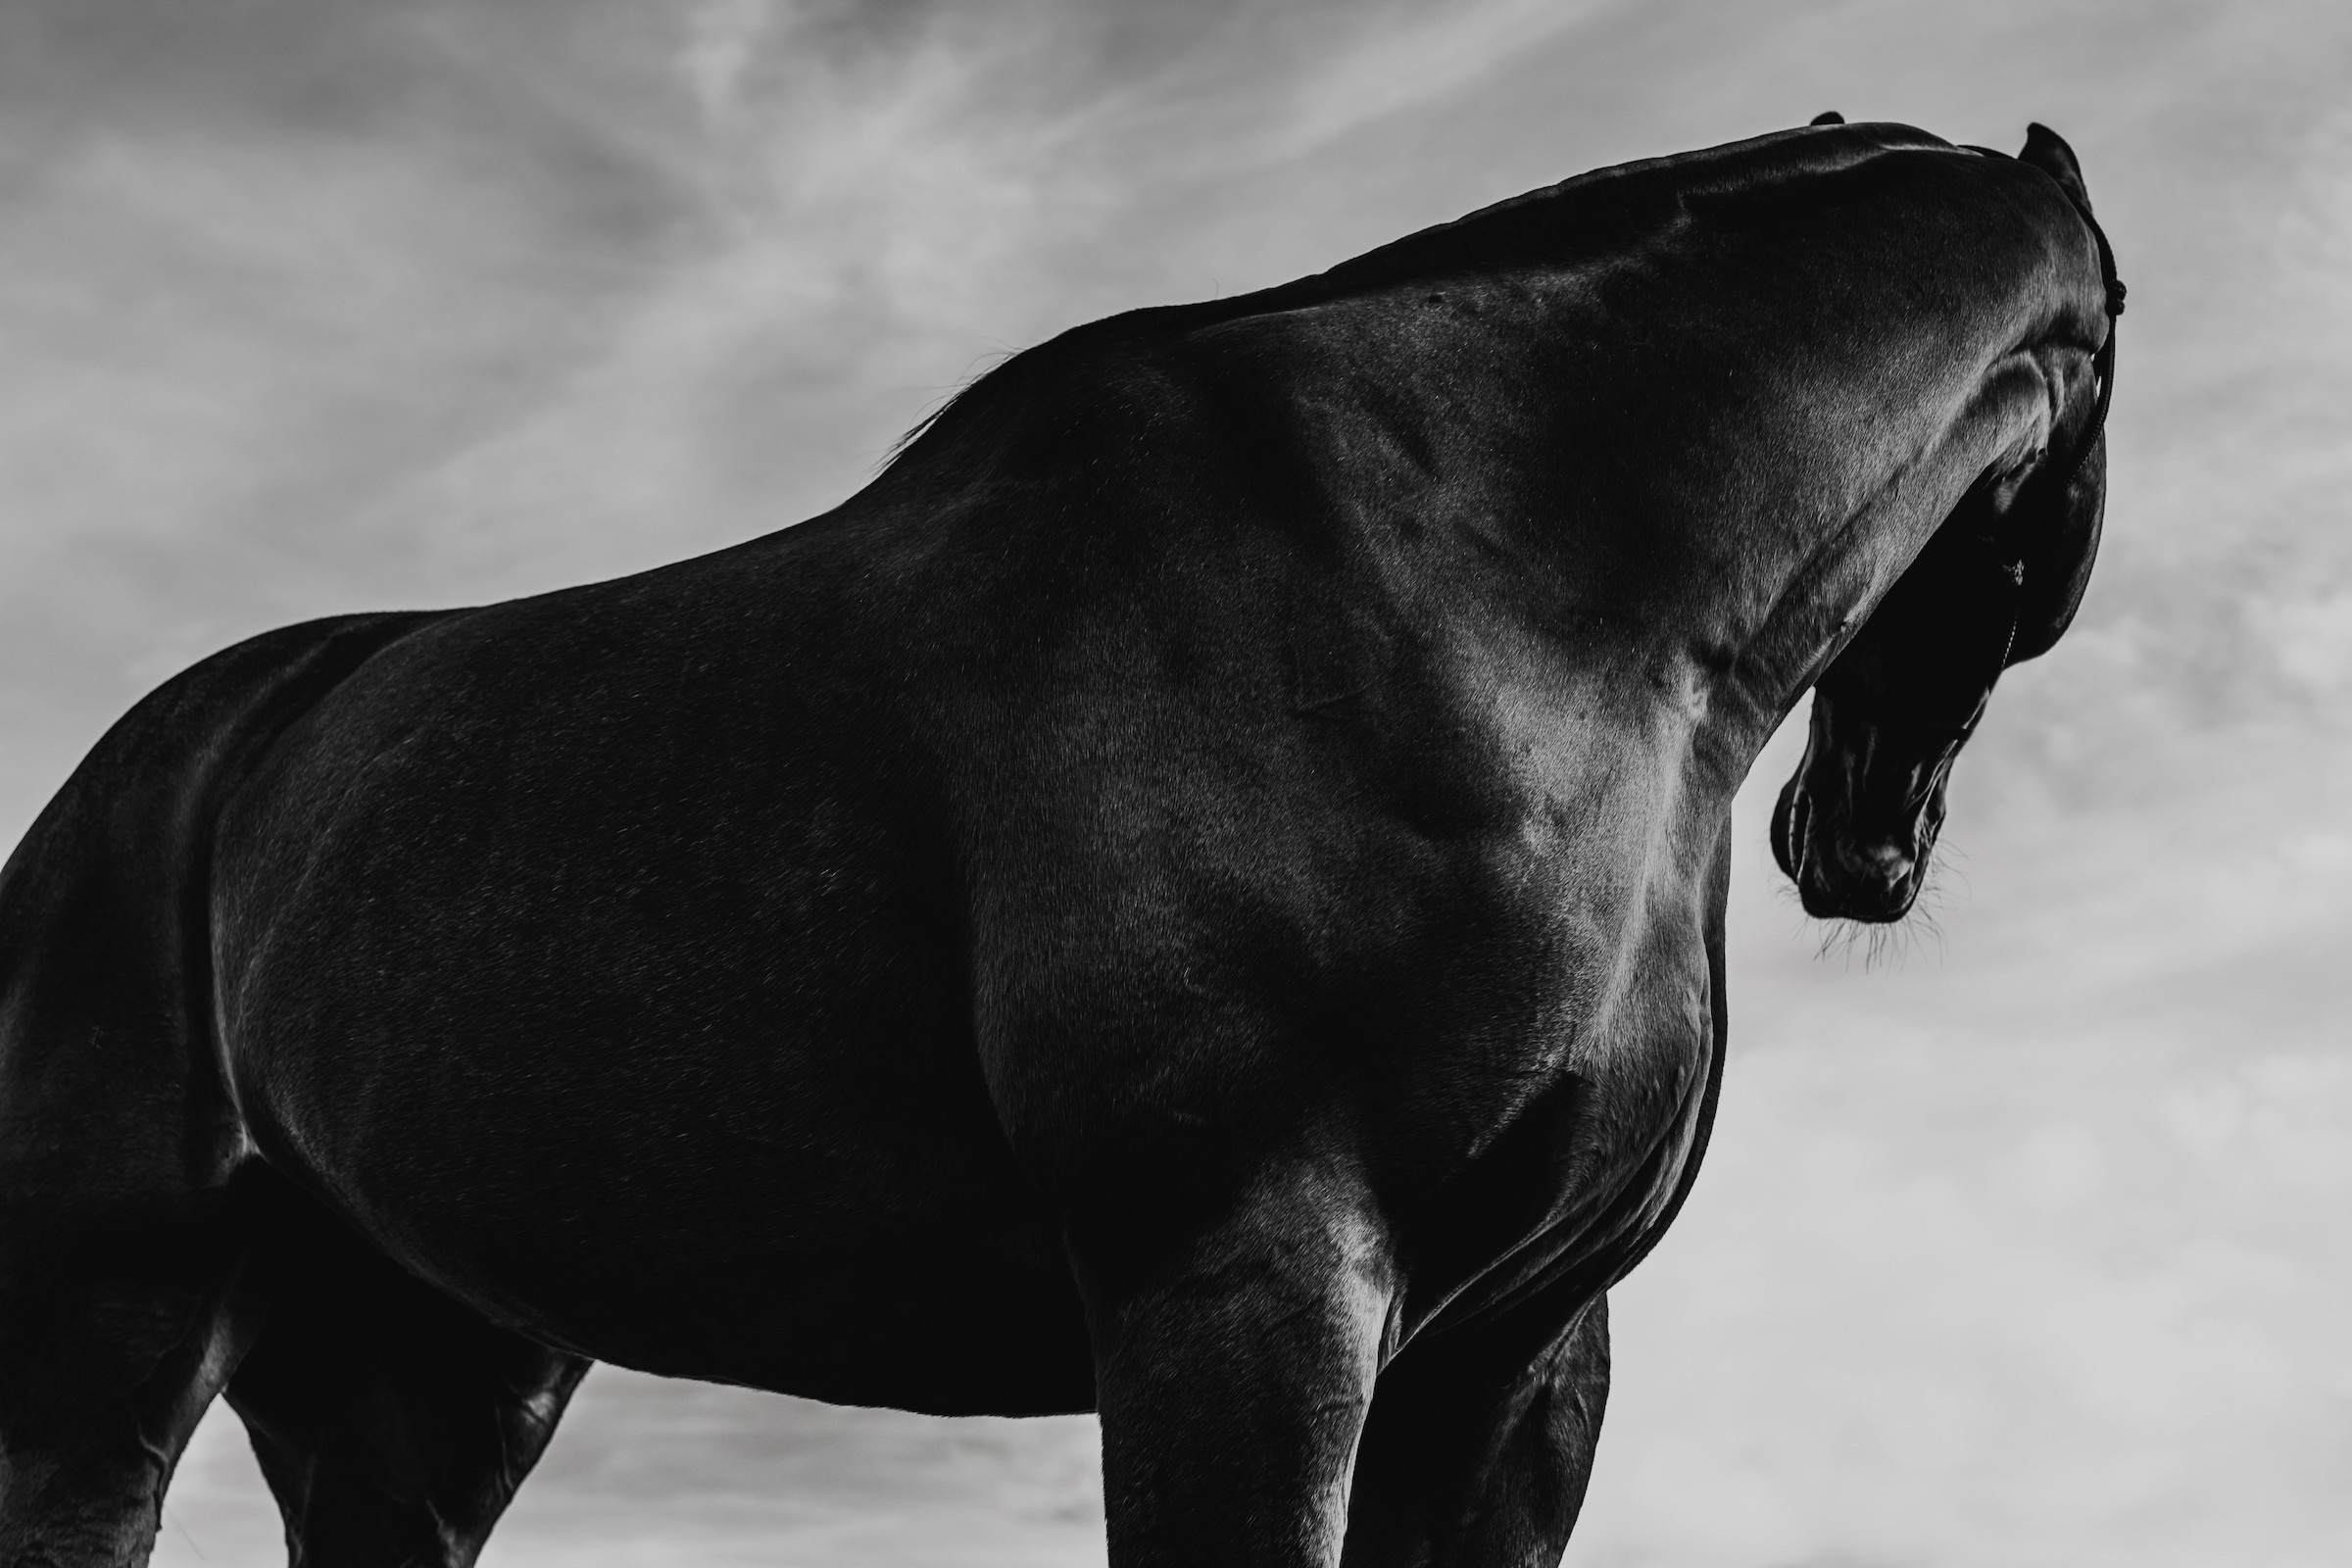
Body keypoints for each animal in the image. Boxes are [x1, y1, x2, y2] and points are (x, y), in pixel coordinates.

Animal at [0, 117, 2118, 1568]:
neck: (1519, 576)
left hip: (427, 1374)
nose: (1862, 843)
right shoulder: (1249, 1284)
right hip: (118, 1328)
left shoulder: (1519, 1356)